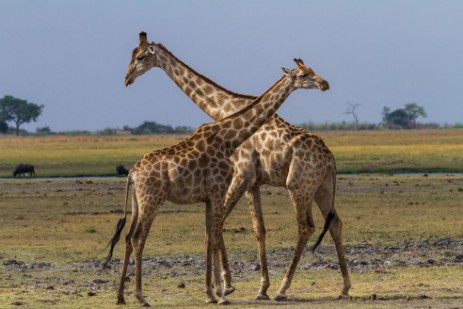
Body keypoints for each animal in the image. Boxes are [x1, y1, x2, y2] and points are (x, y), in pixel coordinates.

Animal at [124, 30, 352, 298]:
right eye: (133, 55)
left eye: (140, 57)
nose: (127, 78)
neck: (224, 109)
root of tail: (330, 159)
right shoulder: (253, 181)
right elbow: (258, 229)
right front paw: (260, 287)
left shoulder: (241, 174)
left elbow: (219, 223)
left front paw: (227, 285)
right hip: (321, 187)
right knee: (335, 222)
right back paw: (344, 287)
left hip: (298, 186)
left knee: (306, 226)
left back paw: (284, 288)